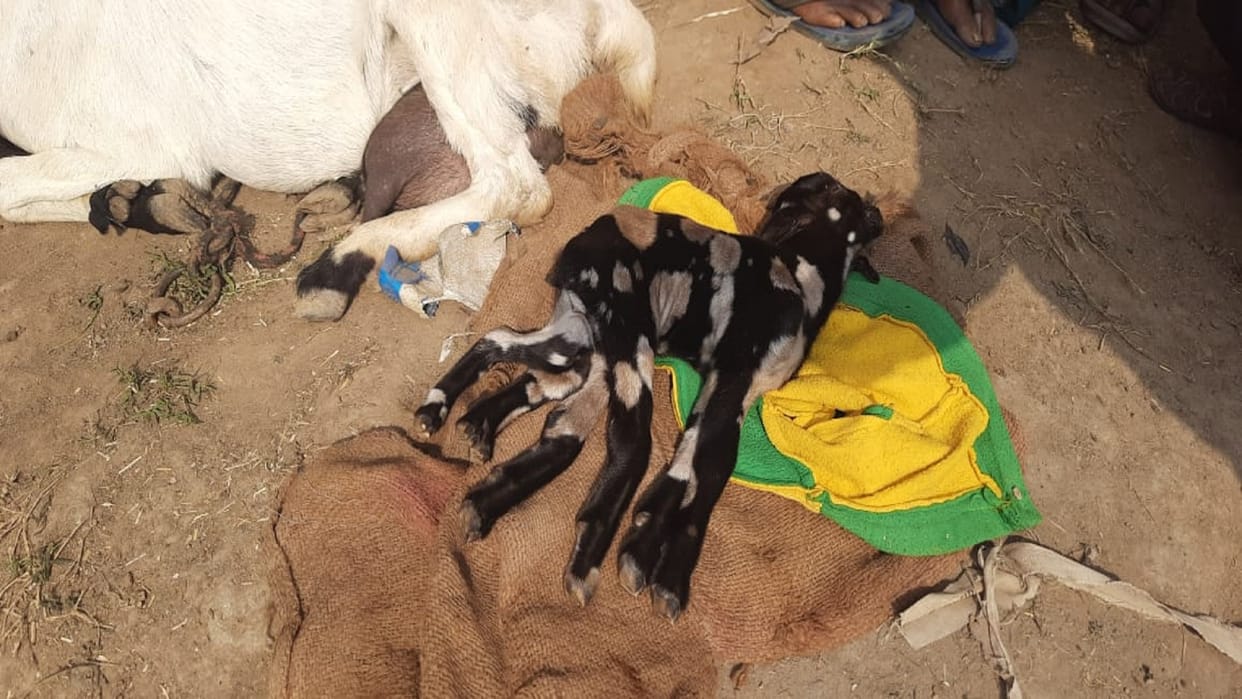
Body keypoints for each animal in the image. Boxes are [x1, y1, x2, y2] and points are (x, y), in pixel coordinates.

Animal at [413, 172, 885, 620]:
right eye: (844, 196)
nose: (877, 211)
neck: (798, 275)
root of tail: (595, 230)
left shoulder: (726, 392)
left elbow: (684, 464)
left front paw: (642, 542)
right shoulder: (734, 379)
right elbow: (710, 474)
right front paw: (671, 579)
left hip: (579, 336)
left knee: (505, 347)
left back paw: (460, 440)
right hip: (625, 336)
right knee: (630, 441)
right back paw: (586, 558)